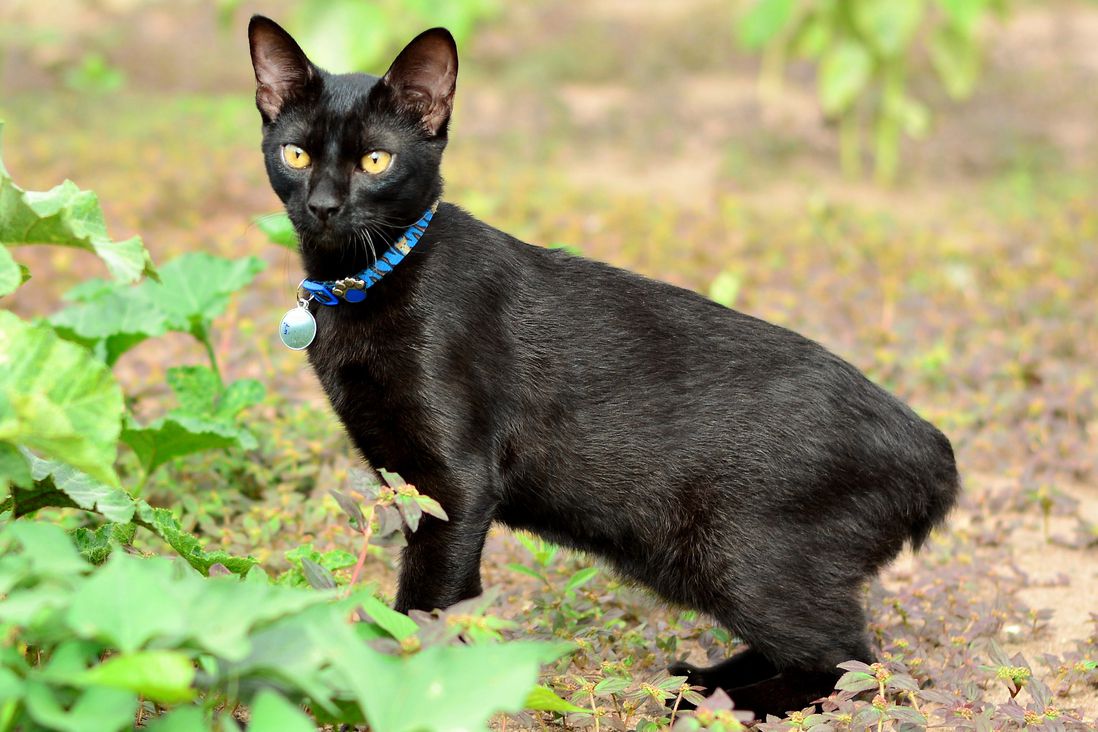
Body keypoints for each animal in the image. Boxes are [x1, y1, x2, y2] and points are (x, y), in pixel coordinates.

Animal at [249, 14, 961, 719]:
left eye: (377, 160)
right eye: (296, 155)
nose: (324, 206)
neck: (362, 284)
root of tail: (931, 446)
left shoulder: (456, 484)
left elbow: (426, 610)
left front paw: (404, 691)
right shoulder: (413, 485)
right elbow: (458, 603)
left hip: (741, 557)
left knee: (849, 666)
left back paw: (715, 706)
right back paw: (696, 682)